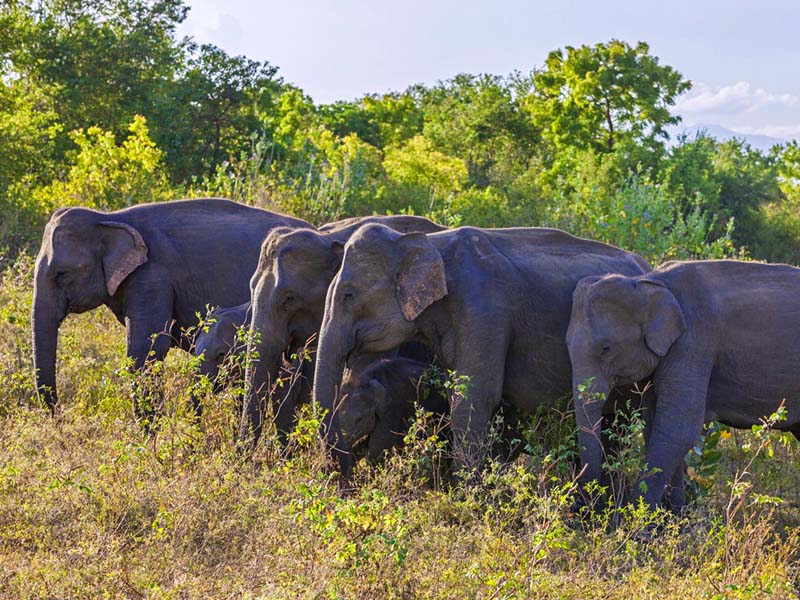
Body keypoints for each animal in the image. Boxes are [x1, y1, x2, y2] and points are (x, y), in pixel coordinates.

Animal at [564, 258, 800, 510]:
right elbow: (654, 425)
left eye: (605, 348)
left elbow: (677, 429)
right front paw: (673, 515)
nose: (588, 508)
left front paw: (639, 516)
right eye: (566, 344)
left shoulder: (694, 343)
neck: (649, 282)